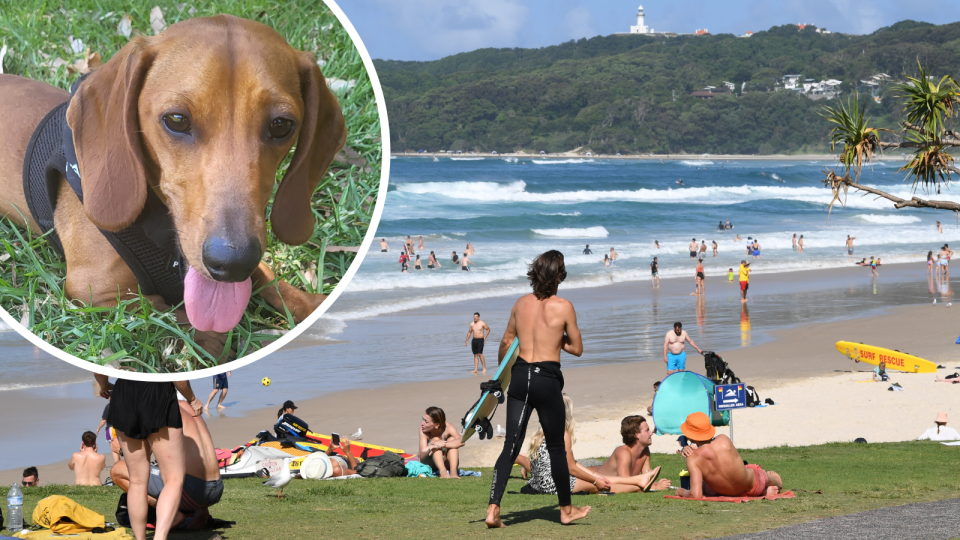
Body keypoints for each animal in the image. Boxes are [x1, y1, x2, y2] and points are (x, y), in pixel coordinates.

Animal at [0, 15, 344, 350]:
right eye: (177, 120)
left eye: (281, 125)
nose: (233, 263)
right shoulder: (93, 291)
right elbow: (168, 312)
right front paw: (214, 341)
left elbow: (271, 281)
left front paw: (310, 304)